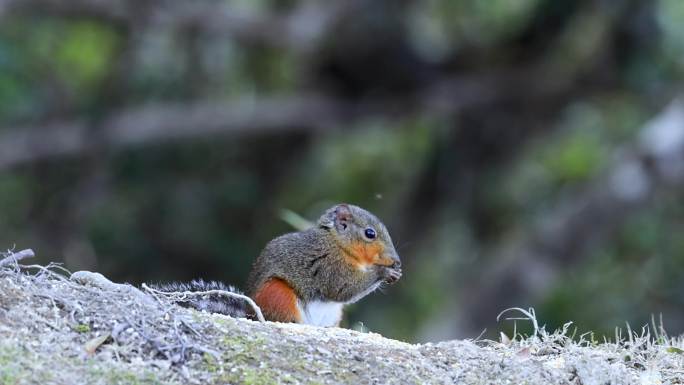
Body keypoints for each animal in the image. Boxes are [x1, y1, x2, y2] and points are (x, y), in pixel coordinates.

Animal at [154, 202, 400, 326]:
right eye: (370, 233)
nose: (396, 260)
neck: (337, 243)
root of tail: (251, 313)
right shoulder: (329, 264)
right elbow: (341, 289)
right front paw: (383, 272)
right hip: (278, 295)